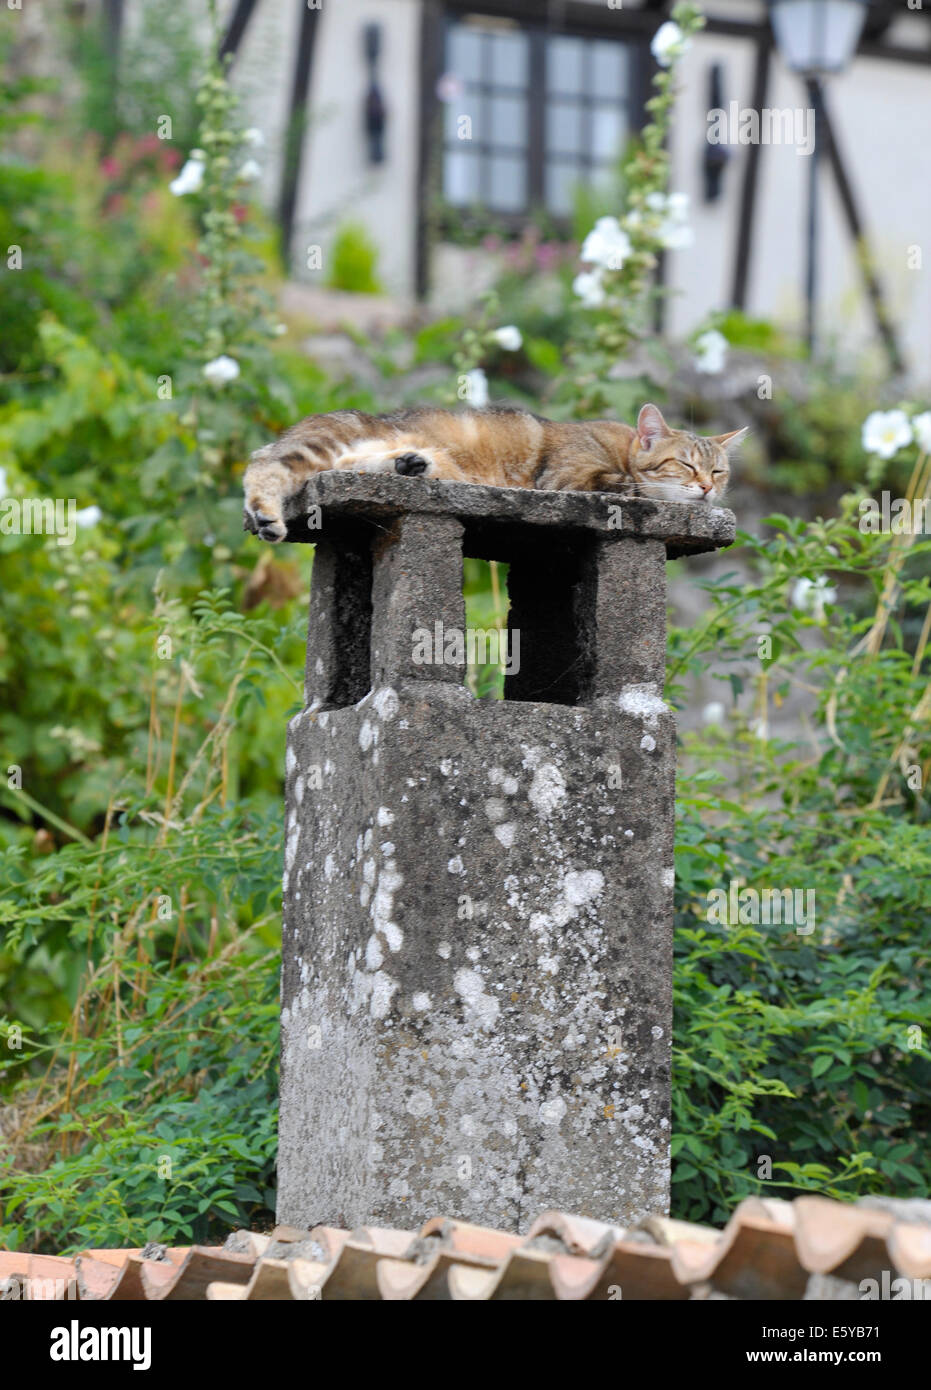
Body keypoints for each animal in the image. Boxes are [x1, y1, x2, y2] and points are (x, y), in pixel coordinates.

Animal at [244, 403, 750, 542]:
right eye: (686, 463)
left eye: (719, 471)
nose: (707, 487)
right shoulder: (569, 479)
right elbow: (639, 487)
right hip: (320, 443)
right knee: (262, 467)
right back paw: (265, 514)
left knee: (353, 464)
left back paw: (410, 463)